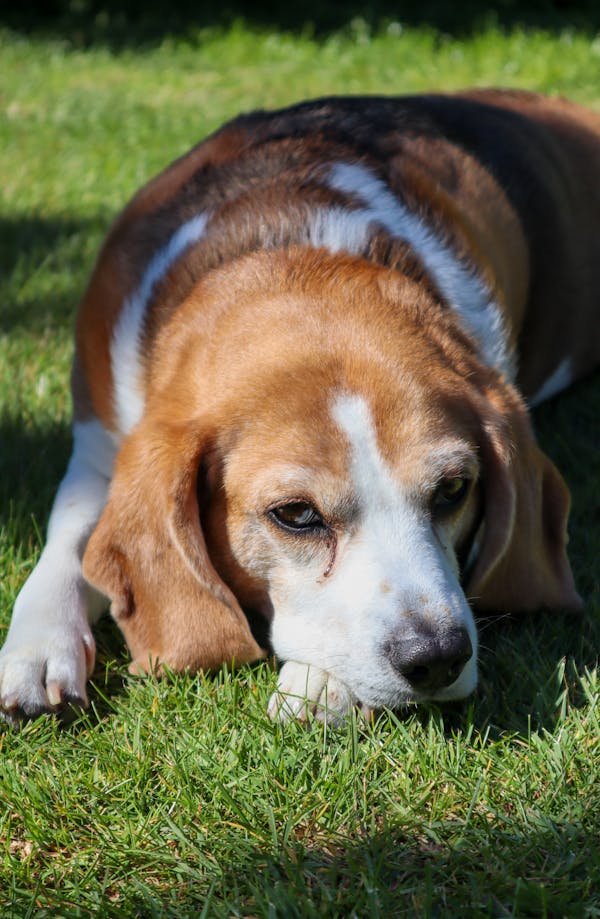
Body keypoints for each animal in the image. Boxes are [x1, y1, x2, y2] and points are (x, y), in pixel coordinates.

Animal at [2, 91, 596, 724]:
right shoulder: (96, 446)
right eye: (295, 514)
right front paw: (38, 650)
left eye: (454, 489)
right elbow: (70, 541)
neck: (290, 246)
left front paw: (320, 682)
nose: (436, 657)